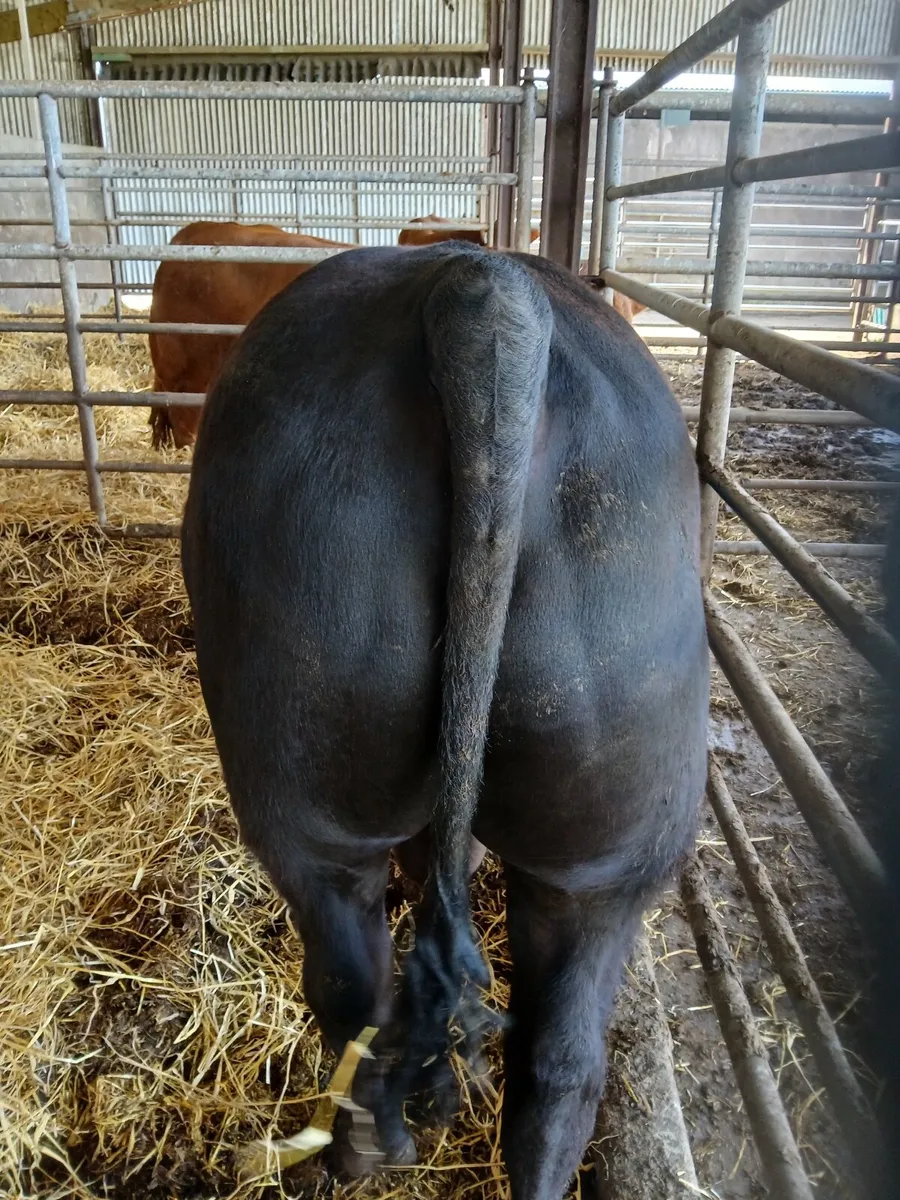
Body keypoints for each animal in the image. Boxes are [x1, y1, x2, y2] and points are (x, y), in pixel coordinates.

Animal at [181, 242, 708, 1199]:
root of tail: (479, 291)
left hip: (304, 802)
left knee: (354, 996)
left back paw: (357, 1159)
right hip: (613, 839)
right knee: (560, 1064)